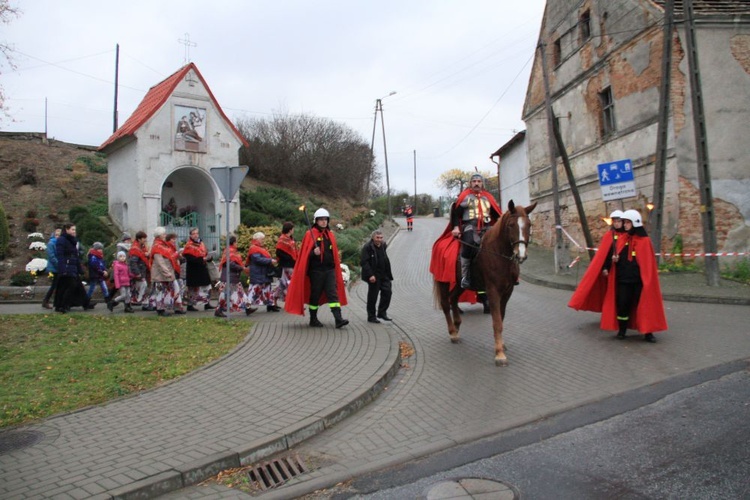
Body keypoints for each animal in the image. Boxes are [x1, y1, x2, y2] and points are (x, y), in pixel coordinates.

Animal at [434, 200, 540, 368]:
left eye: (529, 224)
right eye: (511, 225)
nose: (521, 255)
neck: (498, 253)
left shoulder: (507, 291)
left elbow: (501, 318)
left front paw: (501, 345)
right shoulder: (493, 291)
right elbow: (497, 322)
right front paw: (499, 355)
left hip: (459, 284)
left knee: (453, 299)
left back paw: (457, 325)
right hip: (443, 281)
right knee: (445, 303)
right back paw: (453, 333)